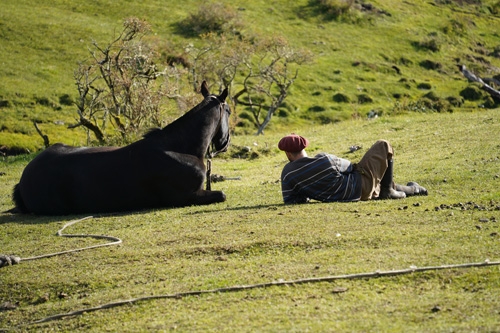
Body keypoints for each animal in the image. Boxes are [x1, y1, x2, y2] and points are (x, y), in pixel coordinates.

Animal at [11, 81, 230, 214]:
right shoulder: (186, 196)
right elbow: (222, 194)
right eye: (228, 110)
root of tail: (24, 177)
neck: (179, 149)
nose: (225, 142)